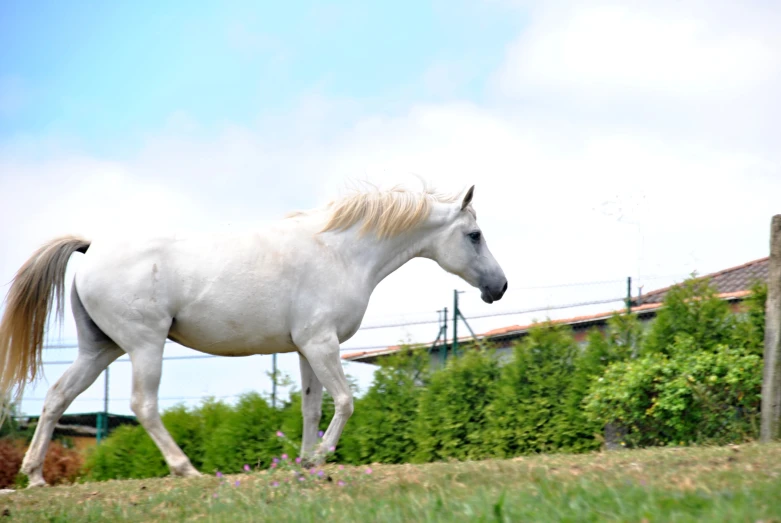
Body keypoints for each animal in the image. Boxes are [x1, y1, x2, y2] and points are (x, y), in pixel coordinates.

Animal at [0, 184, 506, 488]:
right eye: (475, 235)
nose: (499, 286)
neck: (340, 252)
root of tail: (92, 248)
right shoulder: (322, 344)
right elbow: (345, 402)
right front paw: (320, 458)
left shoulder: (306, 348)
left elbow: (310, 407)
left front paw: (303, 460)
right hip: (144, 346)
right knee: (143, 405)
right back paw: (187, 469)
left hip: (99, 349)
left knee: (57, 396)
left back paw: (35, 476)